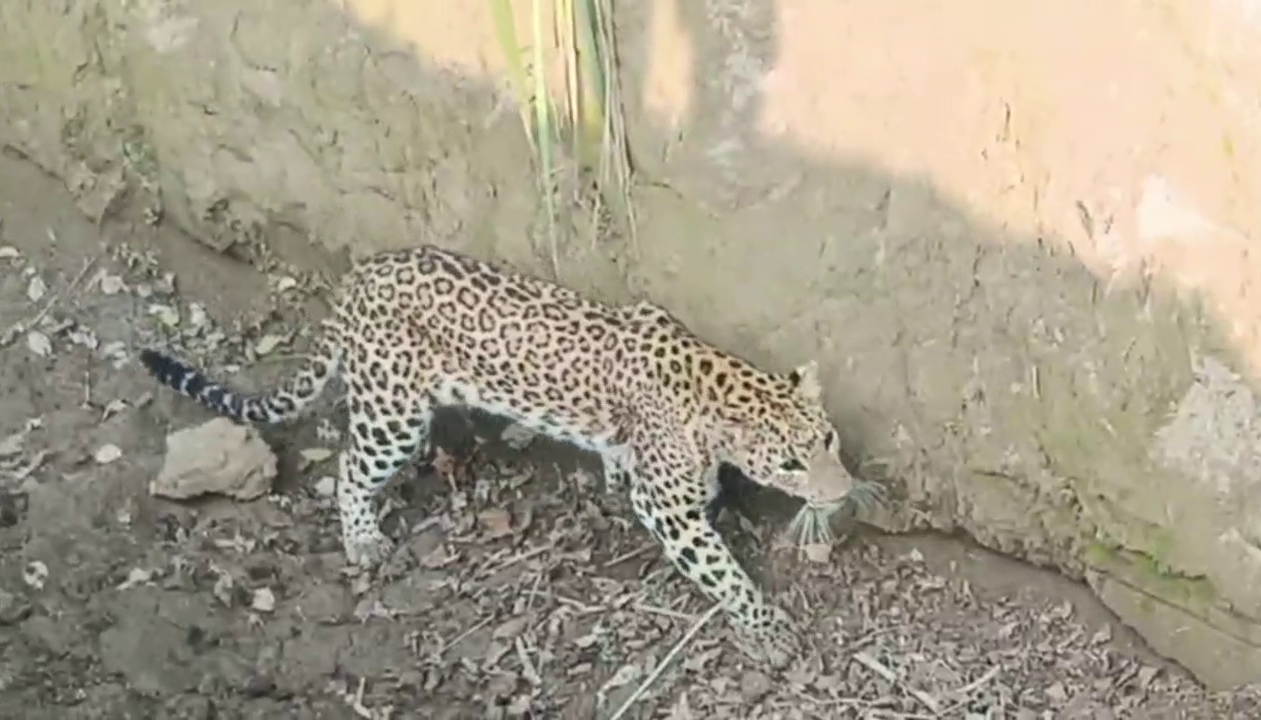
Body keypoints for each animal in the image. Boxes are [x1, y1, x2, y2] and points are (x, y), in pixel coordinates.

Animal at [138, 244, 862, 668]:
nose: (841, 493)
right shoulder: (669, 512)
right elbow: (721, 569)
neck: (717, 384)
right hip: (392, 412)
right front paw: (766, 628)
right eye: (790, 464)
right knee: (349, 465)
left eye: (827, 442)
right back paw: (362, 536)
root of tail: (359, 276)